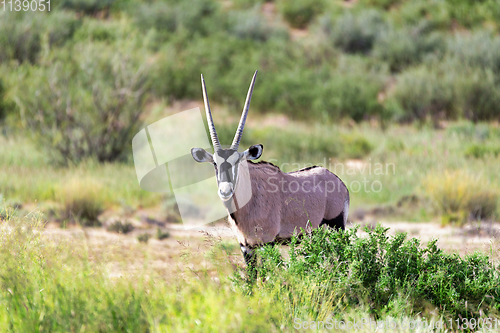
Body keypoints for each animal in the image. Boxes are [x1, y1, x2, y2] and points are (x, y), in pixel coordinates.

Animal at [191, 71, 352, 266]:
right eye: (215, 163)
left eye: (238, 162)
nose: (225, 190)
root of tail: (340, 182)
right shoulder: (246, 247)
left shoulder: (266, 243)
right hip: (314, 236)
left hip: (336, 227)